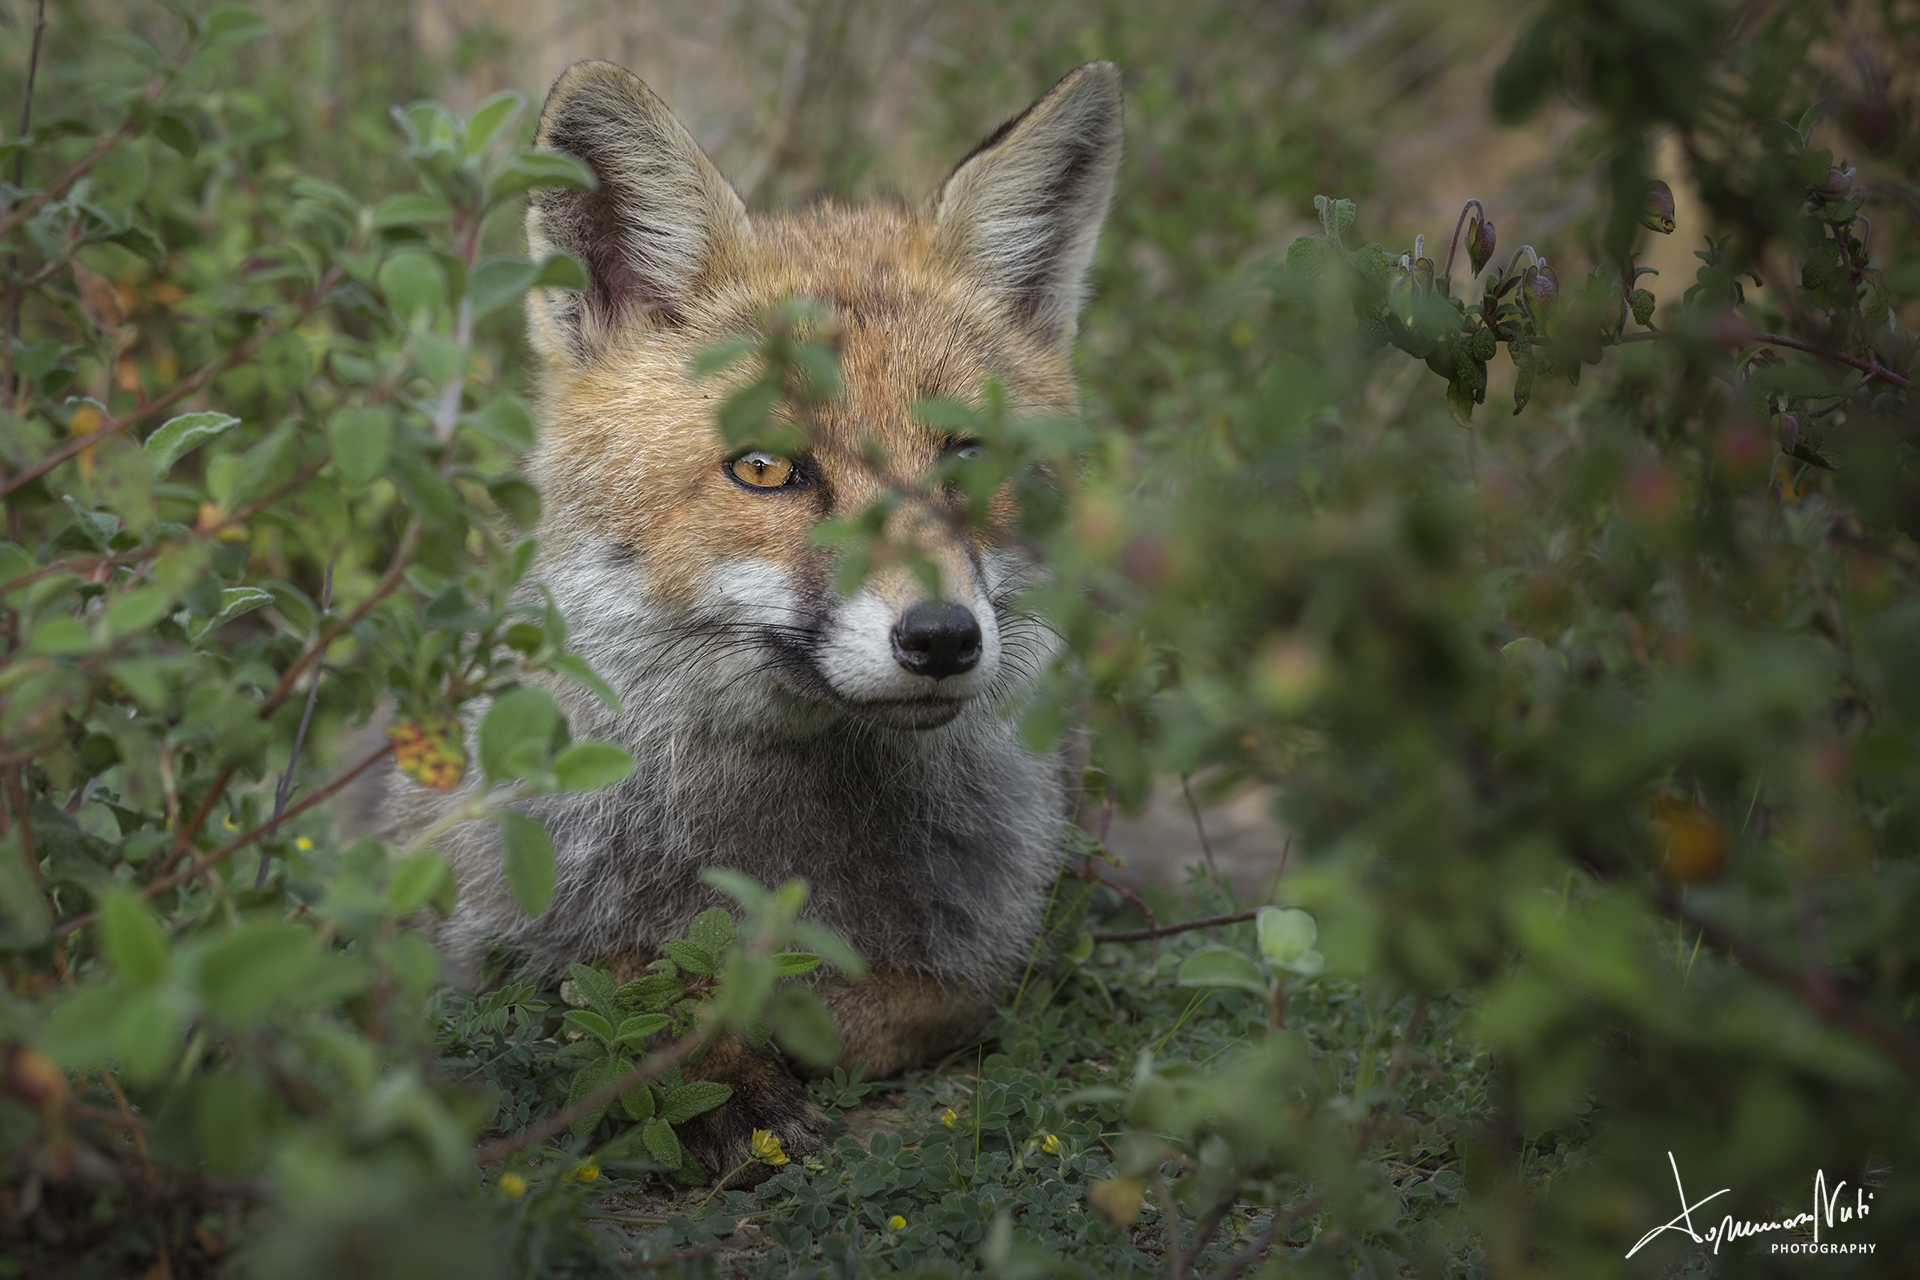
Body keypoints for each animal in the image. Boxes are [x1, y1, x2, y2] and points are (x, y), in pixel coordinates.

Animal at [389, 57, 1123, 1180]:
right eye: (766, 468)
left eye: (965, 454)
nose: (942, 638)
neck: (781, 837)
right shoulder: (478, 937)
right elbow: (611, 981)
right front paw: (719, 1066)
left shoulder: (991, 952)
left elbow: (892, 1001)